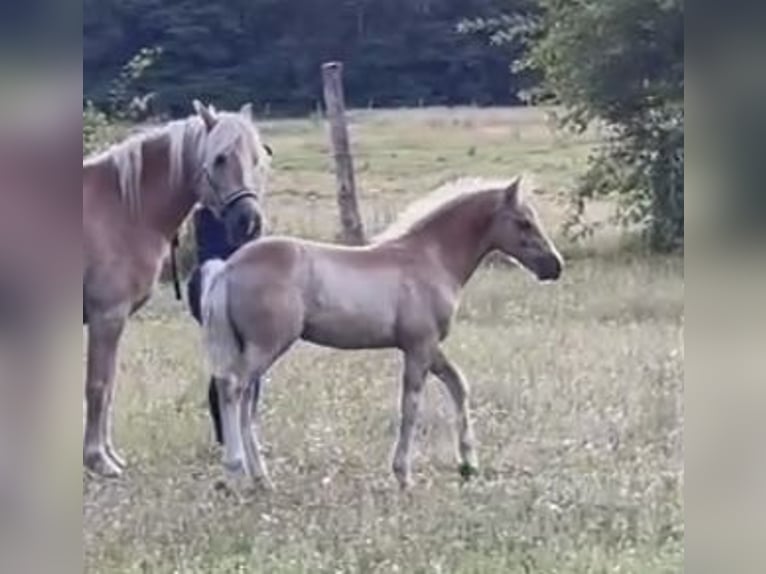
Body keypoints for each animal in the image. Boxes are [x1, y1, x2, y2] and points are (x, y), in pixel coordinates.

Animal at [81, 101, 272, 480]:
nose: (250, 222)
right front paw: (99, 460)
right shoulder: (106, 316)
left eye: (256, 158)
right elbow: (98, 386)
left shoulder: (113, 319)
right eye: (219, 158)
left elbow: (109, 387)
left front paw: (110, 455)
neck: (122, 207)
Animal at [201, 176, 568, 490]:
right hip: (267, 345)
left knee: (245, 399)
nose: (555, 266)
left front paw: (468, 464)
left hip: (253, 347)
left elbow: (458, 385)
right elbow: (411, 406)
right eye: (524, 222)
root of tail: (227, 268)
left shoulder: (429, 347)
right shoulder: (419, 346)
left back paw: (261, 478)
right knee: (232, 387)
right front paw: (403, 475)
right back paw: (235, 471)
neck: (431, 258)